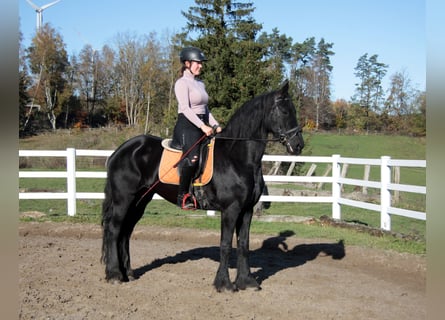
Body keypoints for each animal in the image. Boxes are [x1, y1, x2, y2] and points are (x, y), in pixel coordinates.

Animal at [100, 80, 304, 292]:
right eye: (285, 111)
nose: (298, 145)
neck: (237, 158)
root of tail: (120, 151)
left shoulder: (246, 209)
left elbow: (243, 245)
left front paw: (246, 281)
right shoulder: (231, 209)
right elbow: (225, 245)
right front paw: (224, 284)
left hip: (140, 200)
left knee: (126, 232)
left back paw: (128, 273)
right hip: (124, 198)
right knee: (114, 229)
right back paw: (114, 275)